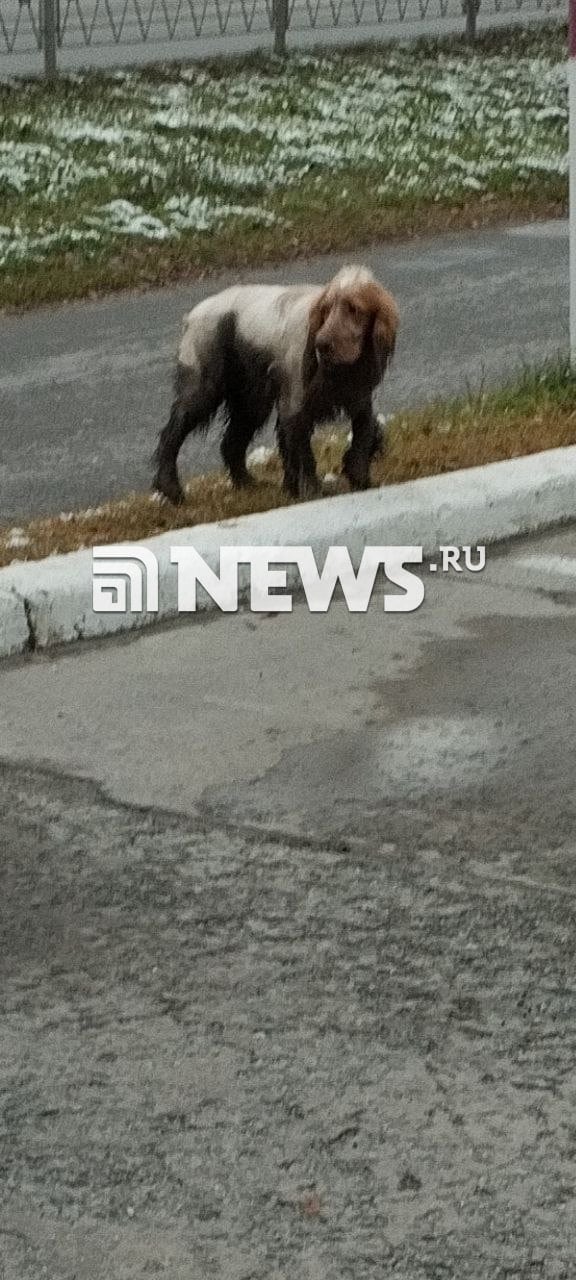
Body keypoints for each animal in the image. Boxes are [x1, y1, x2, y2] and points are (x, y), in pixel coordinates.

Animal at [151, 262, 399, 501]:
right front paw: (311, 490)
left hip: (252, 403)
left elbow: (363, 438)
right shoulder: (295, 407)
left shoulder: (360, 400)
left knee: (230, 444)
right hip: (204, 392)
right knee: (171, 436)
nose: (321, 344)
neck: (343, 370)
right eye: (326, 309)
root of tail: (192, 315)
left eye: (354, 309)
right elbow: (303, 456)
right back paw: (171, 489)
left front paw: (360, 479)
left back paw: (248, 484)